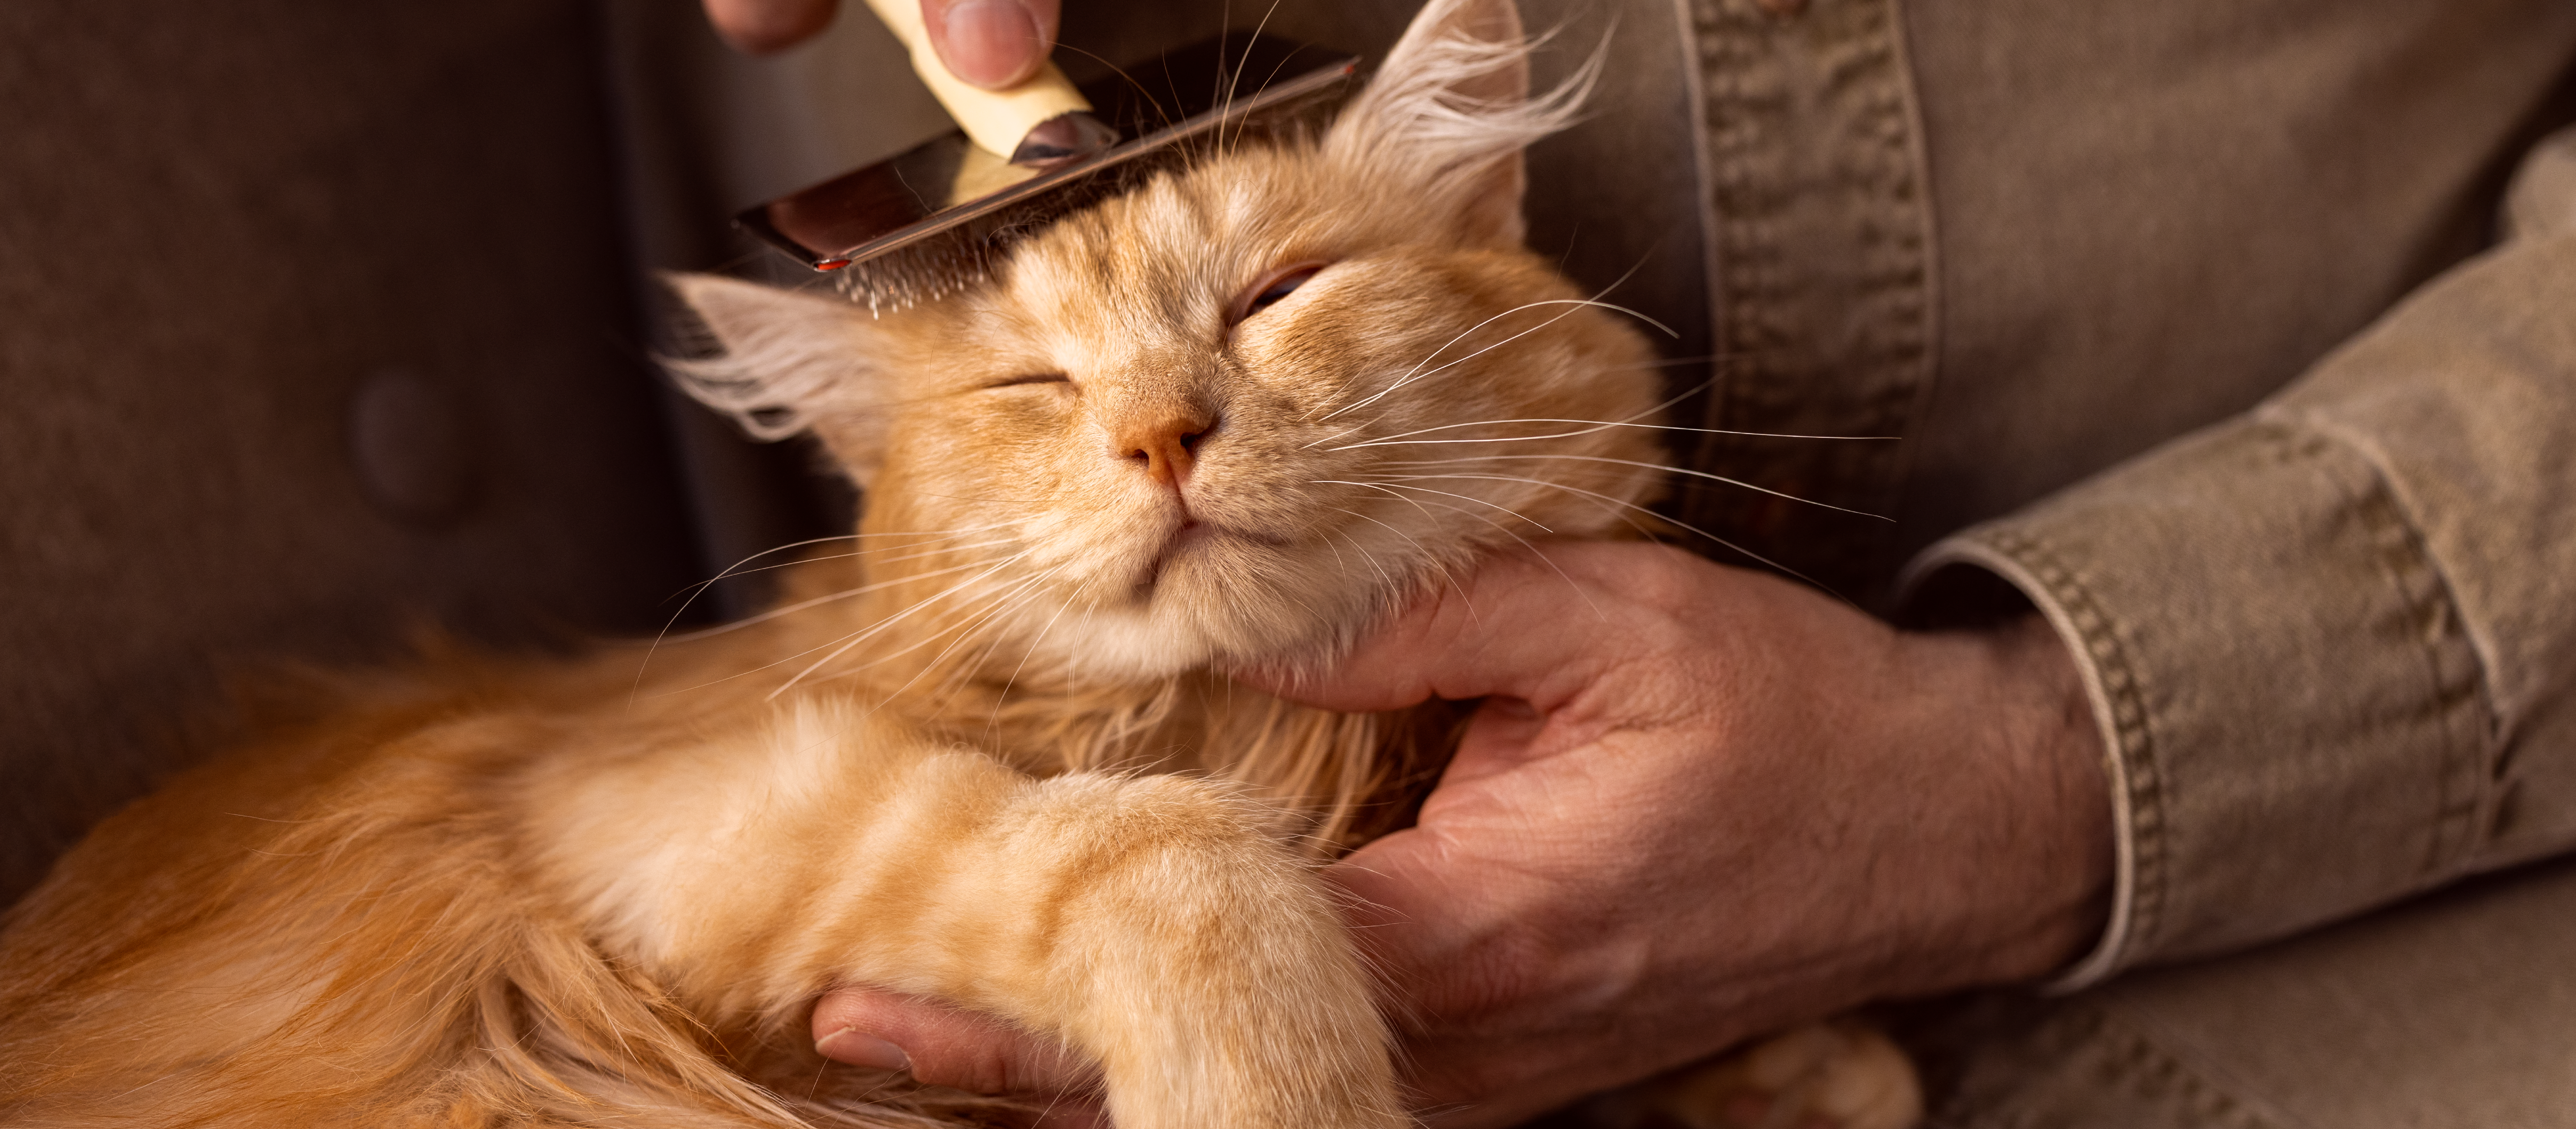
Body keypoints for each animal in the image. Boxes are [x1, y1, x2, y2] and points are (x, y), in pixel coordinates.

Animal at [0, 0, 1916, 1124]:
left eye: (1271, 295)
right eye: (1033, 388)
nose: (1160, 433)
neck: (1266, 736)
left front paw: (1798, 1059)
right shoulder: (685, 801)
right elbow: (1175, 865)